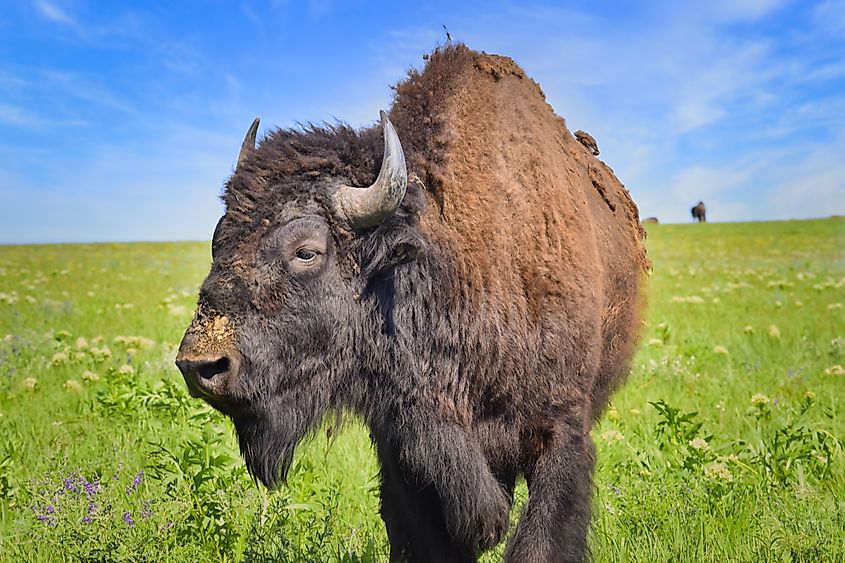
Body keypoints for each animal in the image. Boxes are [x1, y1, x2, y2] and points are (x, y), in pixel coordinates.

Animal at [176, 45, 648, 562]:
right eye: (219, 240)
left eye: (306, 251)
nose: (200, 365)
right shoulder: (404, 446)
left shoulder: (560, 428)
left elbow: (542, 539)